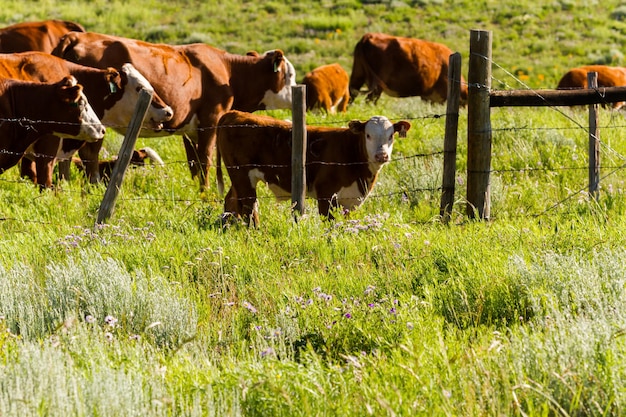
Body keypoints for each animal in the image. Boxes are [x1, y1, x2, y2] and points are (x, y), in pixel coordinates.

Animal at [51, 30, 294, 190]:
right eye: (290, 75)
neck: (228, 71)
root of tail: (76, 36)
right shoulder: (210, 121)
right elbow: (205, 160)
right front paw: (207, 192)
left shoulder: (190, 130)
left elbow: (194, 164)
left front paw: (198, 190)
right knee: (88, 154)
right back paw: (91, 186)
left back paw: (65, 185)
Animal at [214, 109, 410, 226]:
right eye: (368, 135)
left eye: (391, 136)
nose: (381, 155)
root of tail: (234, 113)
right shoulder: (326, 193)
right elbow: (329, 222)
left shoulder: (349, 200)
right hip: (242, 175)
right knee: (248, 206)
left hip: (239, 177)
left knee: (232, 200)